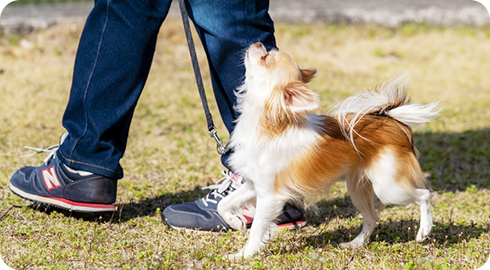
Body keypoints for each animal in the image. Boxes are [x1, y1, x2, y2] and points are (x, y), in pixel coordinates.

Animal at [218, 41, 440, 258]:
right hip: (358, 189)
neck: (267, 125)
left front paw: (244, 255)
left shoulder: (270, 196)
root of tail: (392, 122)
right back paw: (355, 244)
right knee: (372, 218)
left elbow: (257, 229)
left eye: (265, 58)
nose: (257, 43)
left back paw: (424, 230)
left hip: (389, 189)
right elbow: (224, 204)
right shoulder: (253, 185)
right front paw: (236, 222)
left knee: (424, 195)